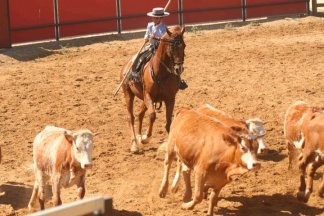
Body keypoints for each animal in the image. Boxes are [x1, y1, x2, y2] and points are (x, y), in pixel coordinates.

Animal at [120, 25, 186, 153]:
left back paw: (139, 136)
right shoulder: (148, 96)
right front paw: (146, 138)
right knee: (131, 117)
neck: (161, 73)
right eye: (172, 47)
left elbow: (168, 122)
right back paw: (134, 144)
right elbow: (152, 115)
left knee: (140, 114)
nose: (179, 68)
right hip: (128, 94)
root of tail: (126, 65)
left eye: (184, 45)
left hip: (145, 100)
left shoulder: (170, 99)